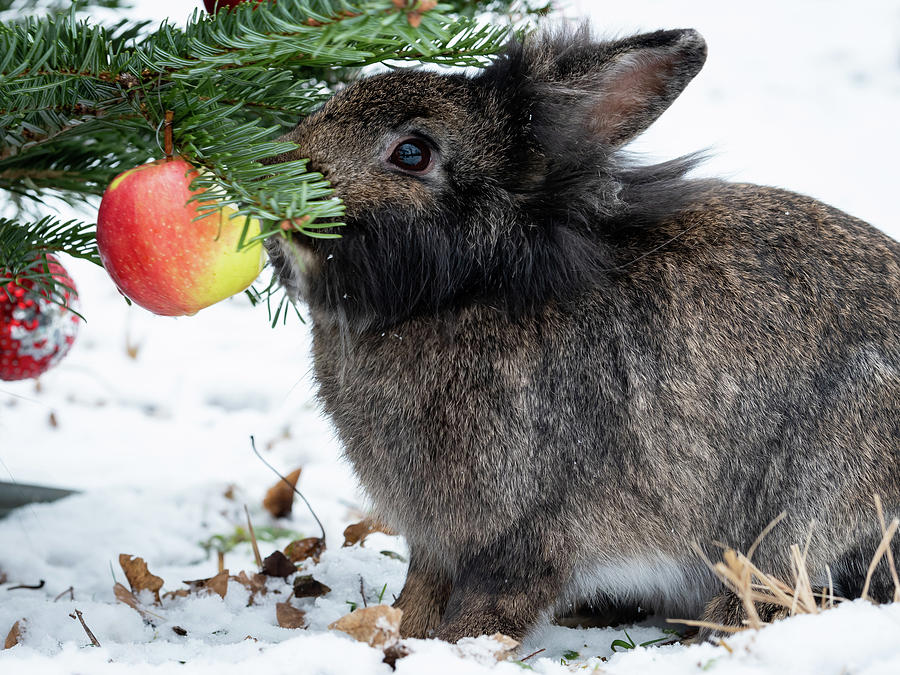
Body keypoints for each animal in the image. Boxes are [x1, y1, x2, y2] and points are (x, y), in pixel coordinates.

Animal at [262, 26, 900, 642]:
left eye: (412, 153)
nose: (276, 189)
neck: (472, 287)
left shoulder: (528, 532)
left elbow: (492, 606)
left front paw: (453, 648)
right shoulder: (438, 544)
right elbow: (419, 594)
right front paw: (393, 636)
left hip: (828, 485)